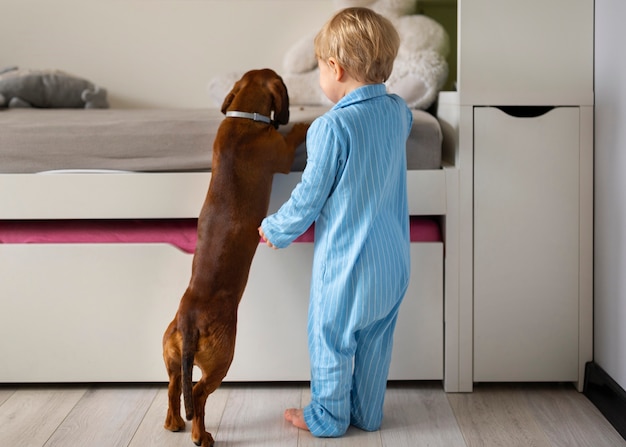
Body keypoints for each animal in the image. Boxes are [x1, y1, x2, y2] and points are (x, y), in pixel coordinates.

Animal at [161, 68, 308, 446]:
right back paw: (201, 435)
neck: (244, 119)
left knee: (174, 385)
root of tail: (189, 322)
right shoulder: (282, 155)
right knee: (198, 394)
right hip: (222, 361)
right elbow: (293, 137)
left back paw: (174, 423)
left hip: (171, 356)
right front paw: (303, 122)